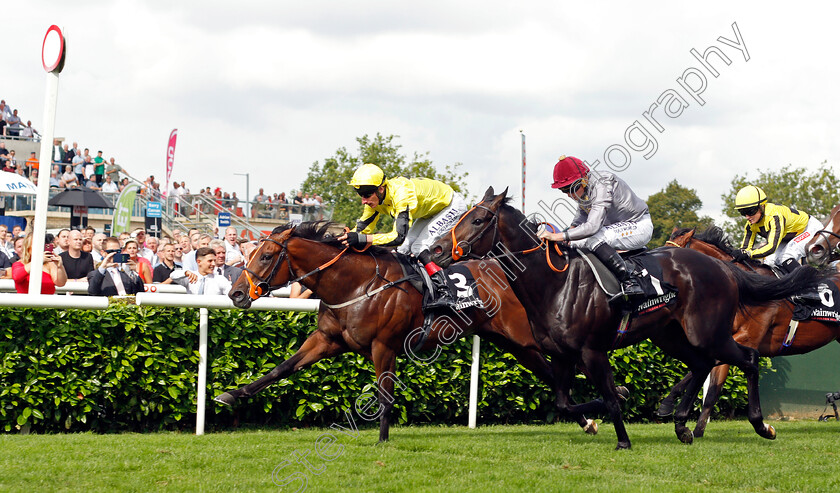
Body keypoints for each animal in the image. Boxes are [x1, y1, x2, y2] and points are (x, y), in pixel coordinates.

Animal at [220, 221, 600, 440]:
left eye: (266, 256)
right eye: (251, 252)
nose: (236, 293)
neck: (355, 285)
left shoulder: (384, 346)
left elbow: (385, 395)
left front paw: (382, 439)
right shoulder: (327, 340)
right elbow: (282, 368)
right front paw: (232, 394)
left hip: (535, 338)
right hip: (516, 344)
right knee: (552, 377)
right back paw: (590, 419)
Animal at [660, 226, 840, 434]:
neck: (748, 288)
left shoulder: (745, 339)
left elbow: (711, 378)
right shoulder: (725, 339)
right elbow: (710, 381)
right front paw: (677, 412)